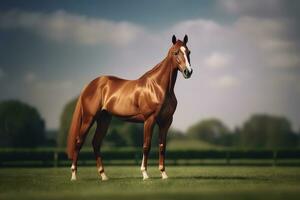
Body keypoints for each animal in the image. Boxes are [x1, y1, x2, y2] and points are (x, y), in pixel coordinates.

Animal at [67, 34, 193, 181]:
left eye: (188, 52)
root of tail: (90, 85)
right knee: (79, 142)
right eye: (176, 52)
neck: (158, 87)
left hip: (104, 119)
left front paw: (163, 173)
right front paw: (145, 174)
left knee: (96, 143)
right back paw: (74, 175)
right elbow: (146, 146)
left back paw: (103, 175)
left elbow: (162, 146)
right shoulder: (149, 119)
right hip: (89, 118)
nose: (188, 71)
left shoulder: (166, 121)